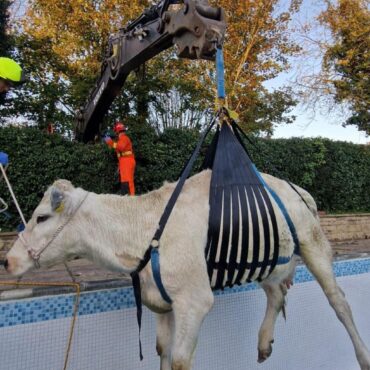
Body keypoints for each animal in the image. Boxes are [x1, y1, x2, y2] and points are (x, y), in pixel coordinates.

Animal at [5, 171, 370, 370]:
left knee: (339, 301)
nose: (6, 261)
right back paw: (264, 342)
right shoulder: (162, 301)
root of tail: (292, 186)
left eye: (41, 217)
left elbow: (180, 359)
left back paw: (362, 356)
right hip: (264, 259)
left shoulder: (194, 300)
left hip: (312, 241)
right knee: (277, 292)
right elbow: (161, 351)